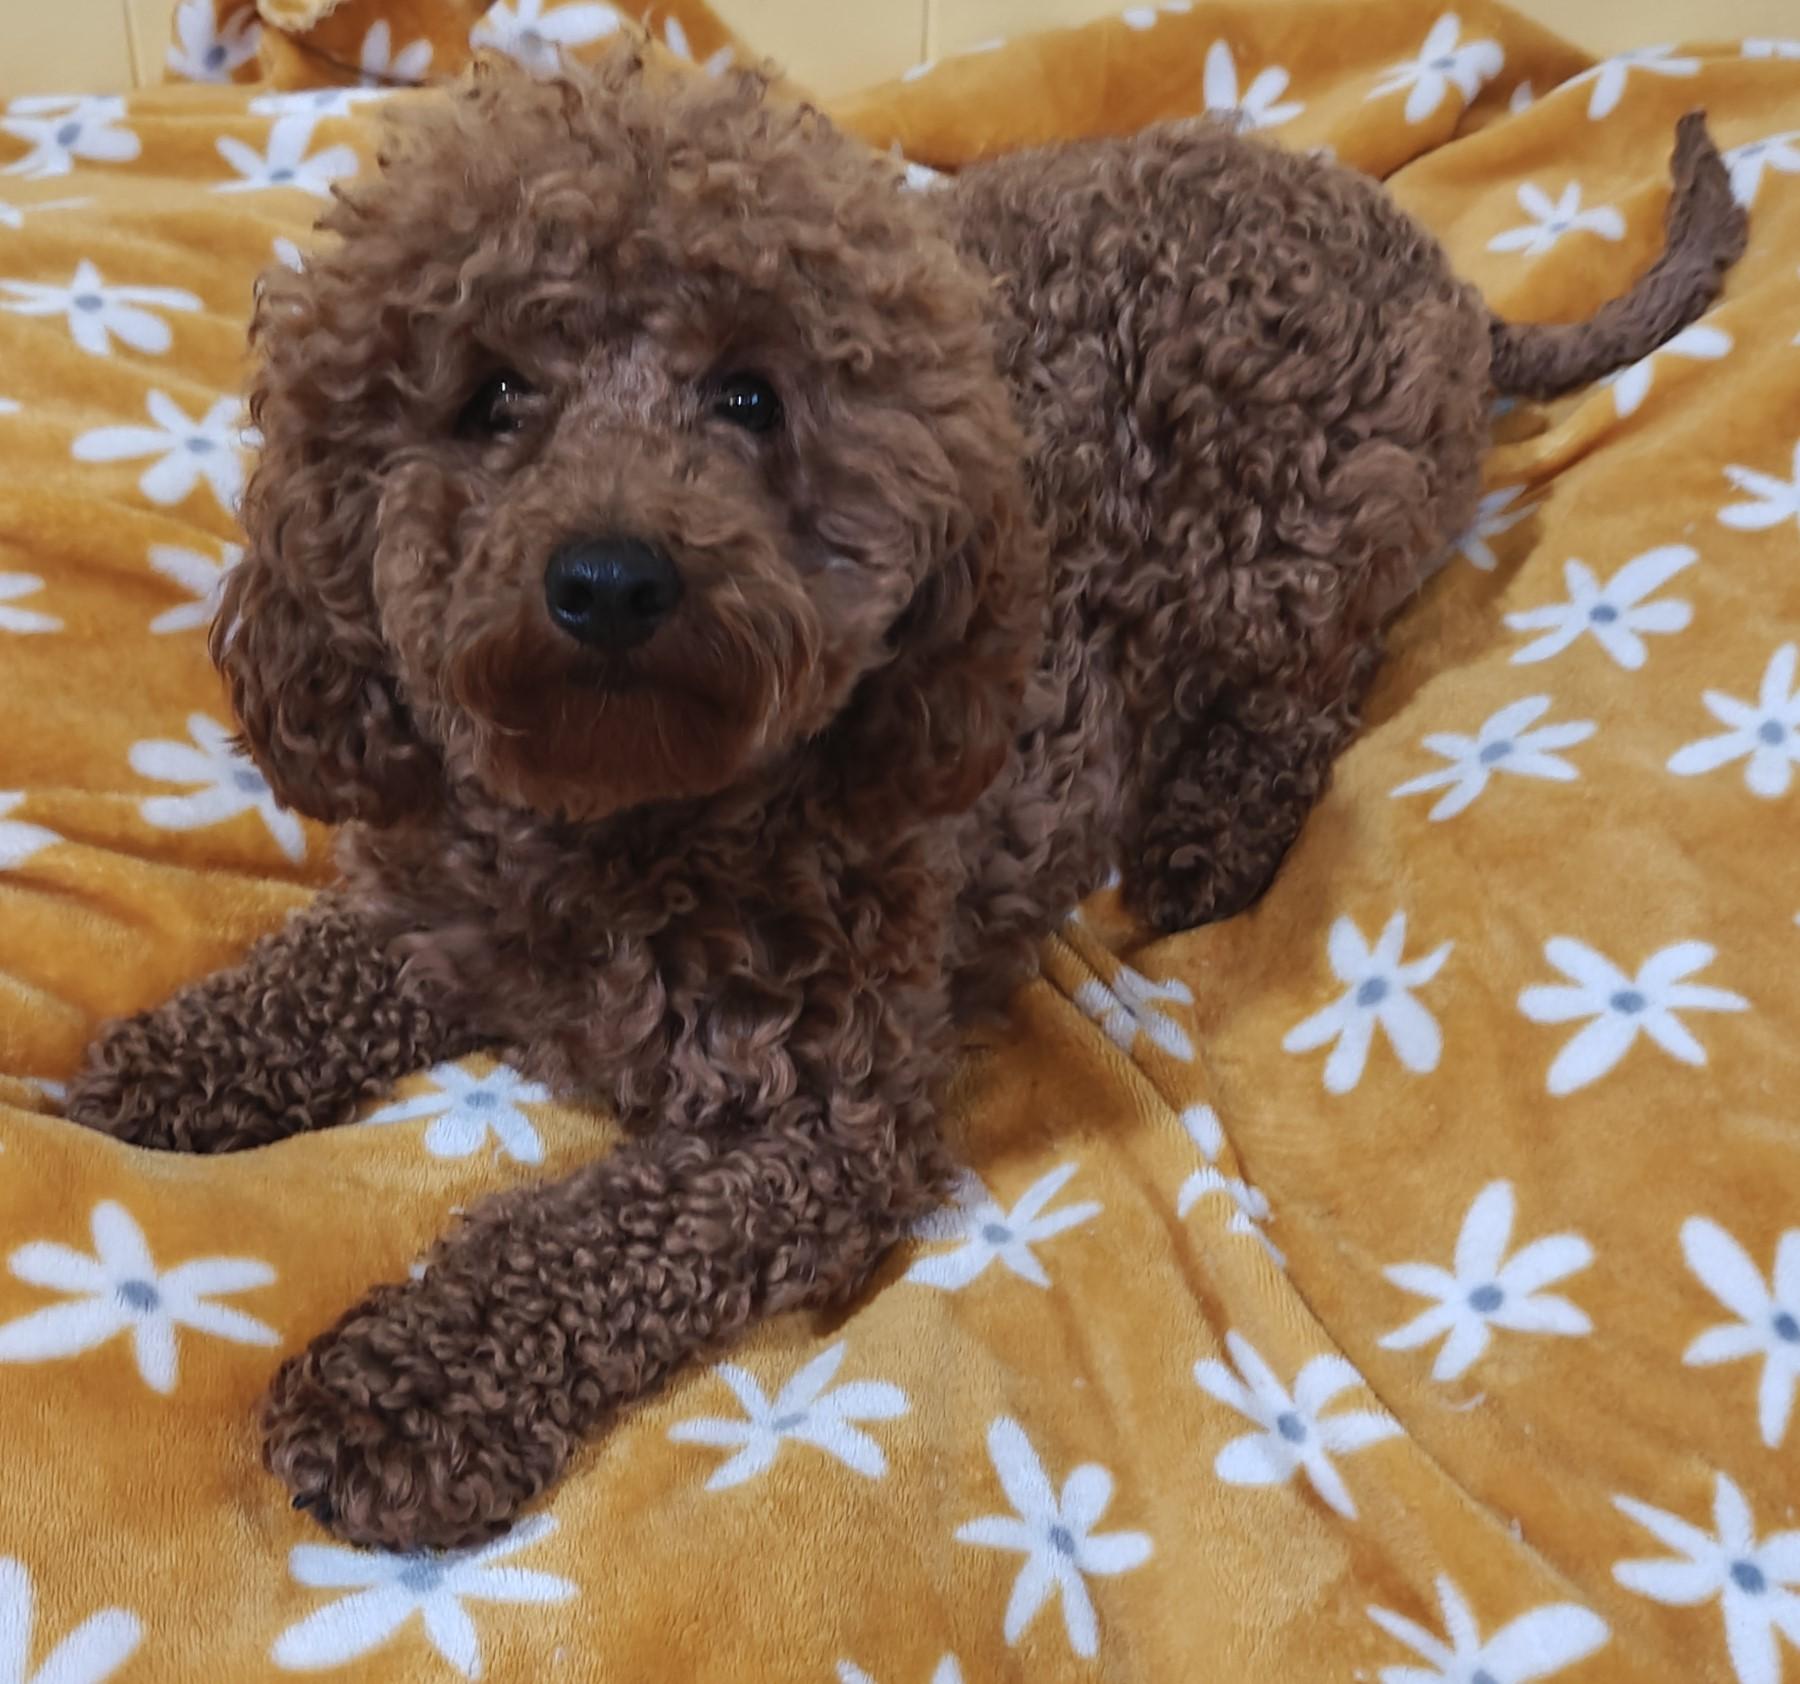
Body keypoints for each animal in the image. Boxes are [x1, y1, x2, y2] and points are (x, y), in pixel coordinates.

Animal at [62, 48, 1745, 1552]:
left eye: (751, 396)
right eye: (492, 396)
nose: (610, 578)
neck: (628, 828)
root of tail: (1448, 283)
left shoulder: (820, 1127)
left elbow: (574, 1244)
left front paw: (396, 1401)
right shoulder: (449, 893)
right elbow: (320, 968)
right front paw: (168, 1067)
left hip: (1301, 543)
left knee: (1314, 687)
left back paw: (1210, 833)